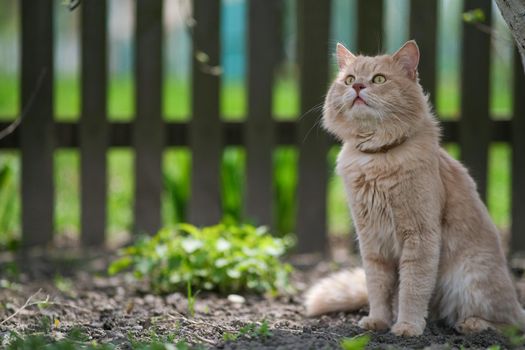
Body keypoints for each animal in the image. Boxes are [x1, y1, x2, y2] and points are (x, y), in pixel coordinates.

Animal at [302, 40, 524, 336]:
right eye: (349, 79)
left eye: (379, 79)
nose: (357, 86)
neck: (378, 157)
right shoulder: (371, 242)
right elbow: (377, 288)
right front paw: (378, 321)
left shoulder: (419, 237)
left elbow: (412, 288)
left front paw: (407, 326)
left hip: (472, 280)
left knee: (509, 323)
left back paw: (472, 323)